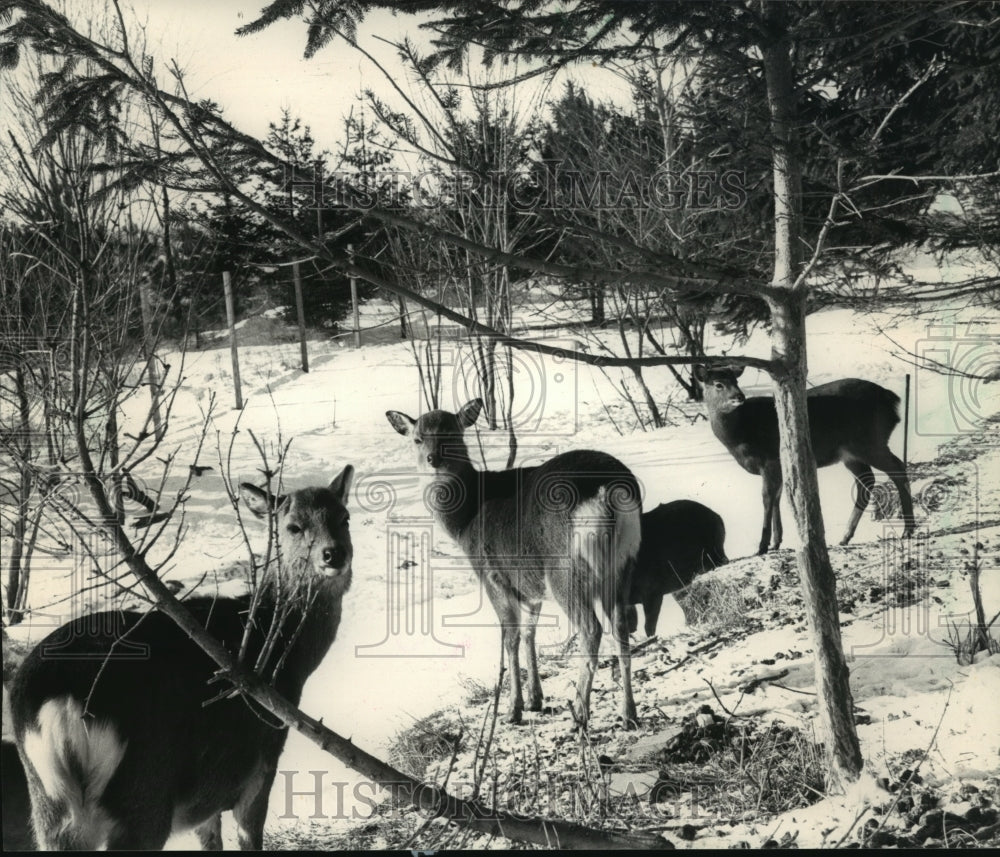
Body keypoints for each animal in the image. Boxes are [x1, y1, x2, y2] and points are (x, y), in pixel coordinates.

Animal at [9, 468, 356, 848]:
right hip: (146, 791)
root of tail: (61, 700)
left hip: (49, 810)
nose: (333, 554)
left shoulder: (207, 800)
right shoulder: (260, 765)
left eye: (344, 517)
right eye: (293, 526)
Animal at [382, 402, 640, 728]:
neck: (465, 522)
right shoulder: (528, 584)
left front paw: (513, 709)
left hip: (564, 570)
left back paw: (580, 713)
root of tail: (606, 489)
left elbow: (511, 638)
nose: (433, 459)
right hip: (624, 562)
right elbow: (530, 633)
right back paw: (629, 714)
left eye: (452, 435)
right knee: (622, 627)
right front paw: (535, 699)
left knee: (591, 629)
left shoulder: (494, 576)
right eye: (417, 439)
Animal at [696, 362, 916, 552]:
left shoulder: (770, 459)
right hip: (851, 453)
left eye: (736, 381)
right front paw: (776, 542)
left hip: (869, 441)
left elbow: (767, 498)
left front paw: (762, 546)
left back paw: (908, 530)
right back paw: (845, 536)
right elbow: (777, 498)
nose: (739, 396)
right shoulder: (778, 466)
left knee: (897, 468)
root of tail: (893, 400)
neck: (740, 434)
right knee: (867, 482)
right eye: (718, 384)